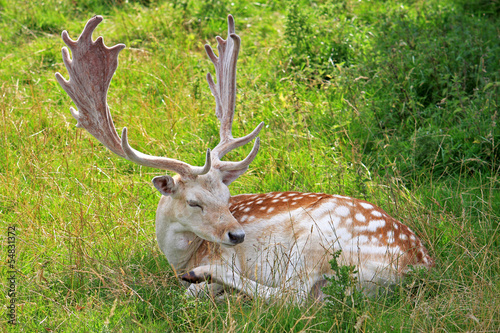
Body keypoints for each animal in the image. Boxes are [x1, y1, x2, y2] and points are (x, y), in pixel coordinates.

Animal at [55, 14, 434, 300]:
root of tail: (417, 266)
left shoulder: (228, 254)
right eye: (194, 202)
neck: (178, 256)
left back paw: (206, 278)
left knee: (291, 297)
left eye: (227, 197)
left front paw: (204, 283)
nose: (237, 235)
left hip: (317, 241)